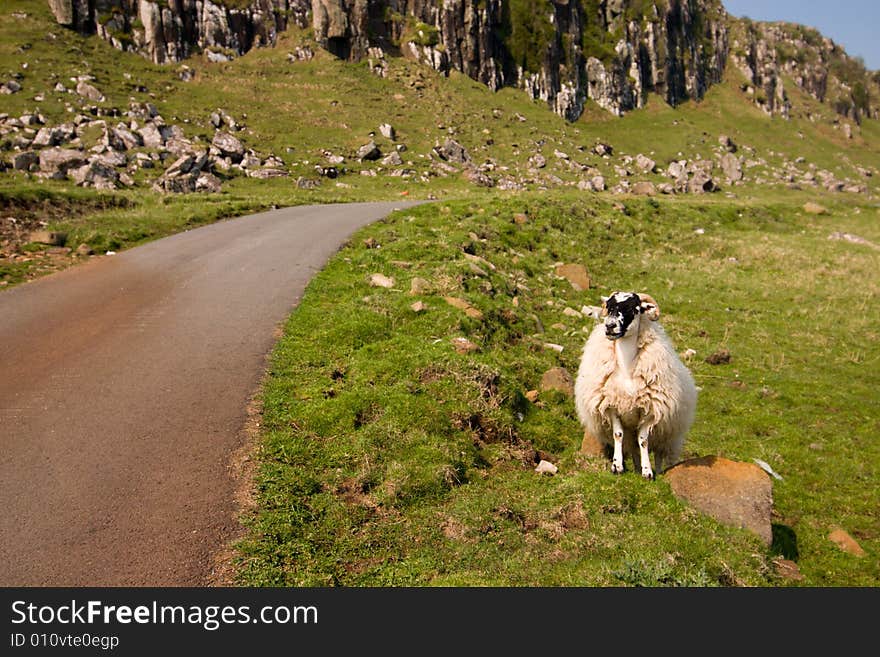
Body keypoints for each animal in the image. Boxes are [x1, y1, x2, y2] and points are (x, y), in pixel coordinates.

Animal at [576, 290, 696, 476]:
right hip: (632, 433)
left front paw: (648, 472)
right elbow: (618, 435)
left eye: (634, 308)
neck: (626, 369)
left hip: (665, 435)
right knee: (634, 450)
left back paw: (658, 472)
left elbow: (644, 440)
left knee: (658, 454)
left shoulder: (650, 411)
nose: (609, 326)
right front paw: (617, 466)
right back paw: (637, 467)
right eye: (609, 306)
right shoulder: (612, 406)